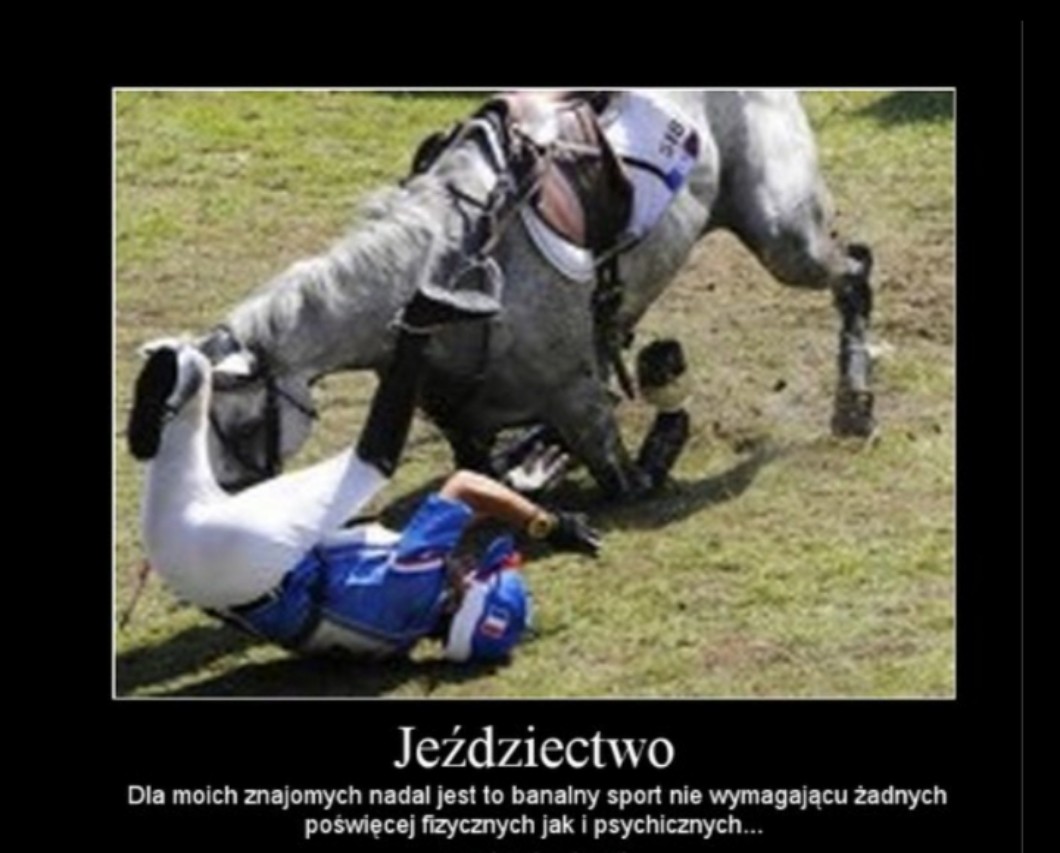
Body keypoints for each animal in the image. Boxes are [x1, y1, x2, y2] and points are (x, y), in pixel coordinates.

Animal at [189, 91, 875, 499]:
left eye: (242, 424)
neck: (449, 274)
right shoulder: (464, 426)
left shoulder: (581, 406)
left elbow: (629, 470)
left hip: (786, 240)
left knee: (852, 273)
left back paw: (855, 406)